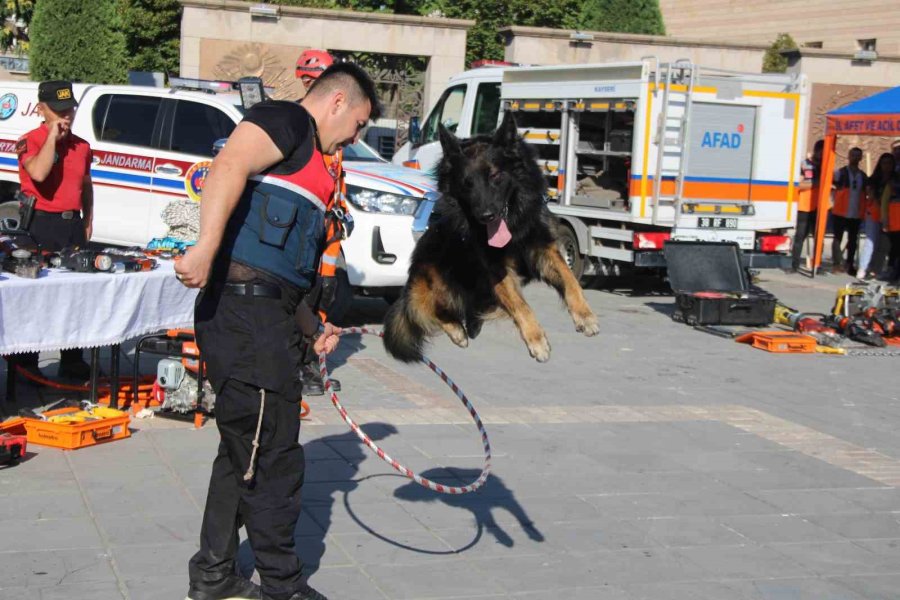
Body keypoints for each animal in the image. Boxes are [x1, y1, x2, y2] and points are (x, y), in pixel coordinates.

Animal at [382, 113, 596, 366]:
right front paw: (537, 340)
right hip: (438, 278)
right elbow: (521, 305)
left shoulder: (543, 248)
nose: (486, 216)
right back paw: (457, 329)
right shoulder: (496, 268)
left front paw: (585, 315)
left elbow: (570, 279)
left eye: (494, 175)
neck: (513, 225)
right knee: (425, 311)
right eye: (467, 183)